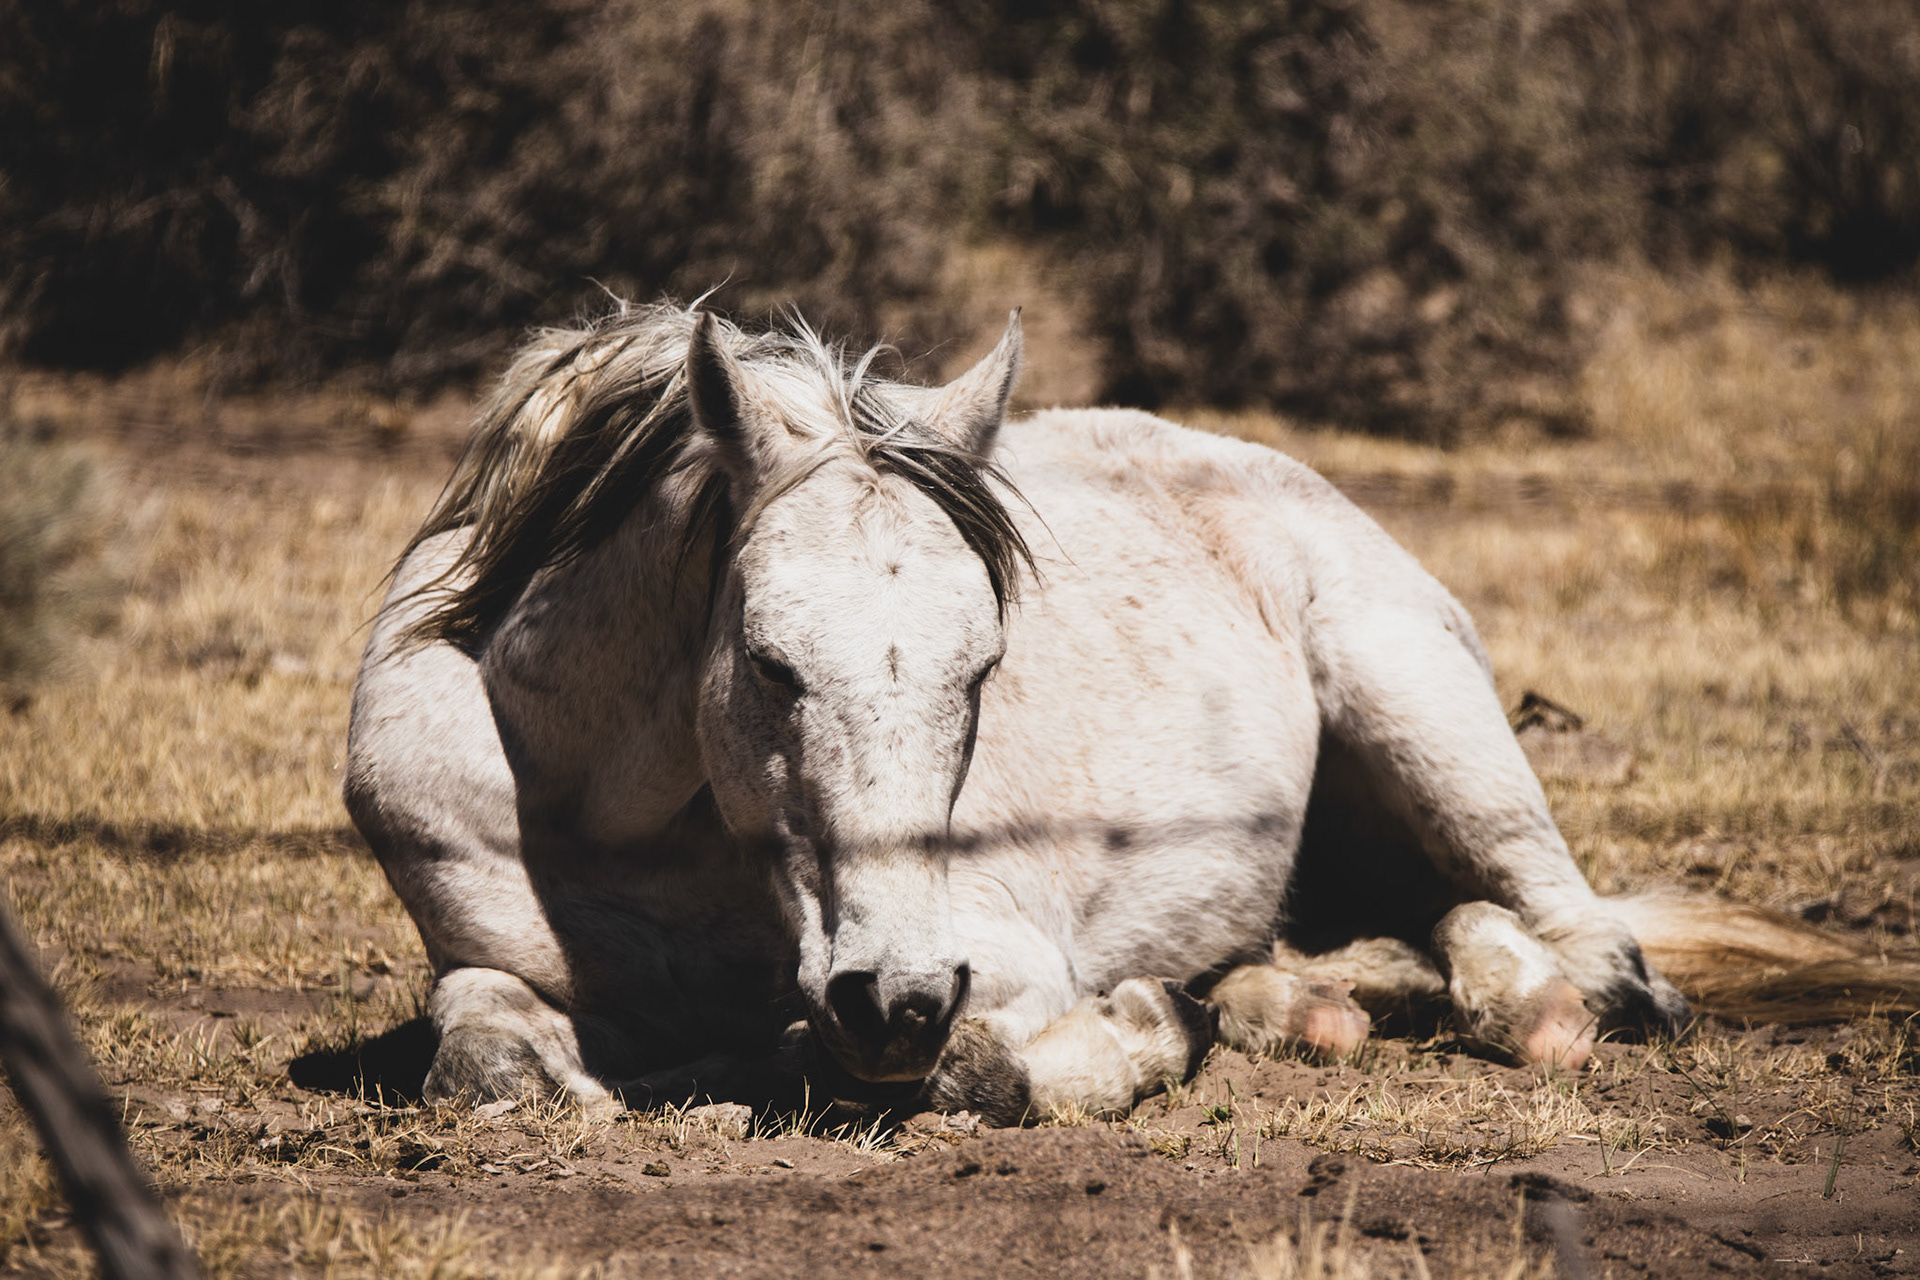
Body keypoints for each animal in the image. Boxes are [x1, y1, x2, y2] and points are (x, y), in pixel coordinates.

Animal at [344, 302, 1893, 1124]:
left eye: (983, 669)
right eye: (773, 667)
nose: (894, 996)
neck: (638, 826)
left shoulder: (998, 959)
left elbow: (959, 1064)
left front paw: (1134, 1031)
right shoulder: (487, 960)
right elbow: (480, 1052)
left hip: (1427, 725)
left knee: (1593, 949)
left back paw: (1526, 1007)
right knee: (1409, 932)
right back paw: (1295, 1002)